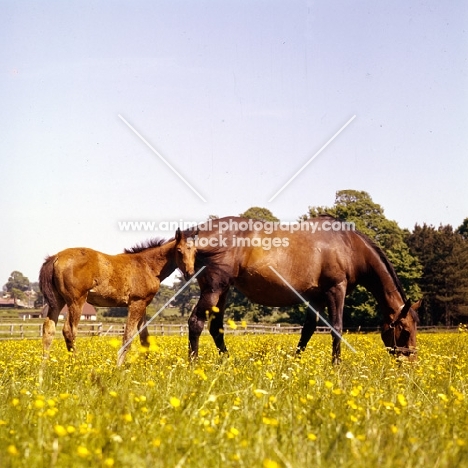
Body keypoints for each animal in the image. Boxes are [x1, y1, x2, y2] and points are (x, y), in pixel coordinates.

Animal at [38, 229, 196, 364]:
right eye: (179, 250)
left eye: (195, 251)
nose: (190, 273)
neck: (147, 265)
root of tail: (55, 257)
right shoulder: (136, 303)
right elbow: (128, 336)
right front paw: (118, 366)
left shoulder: (143, 304)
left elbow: (144, 338)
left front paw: (147, 366)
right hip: (76, 301)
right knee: (69, 331)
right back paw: (75, 364)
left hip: (57, 301)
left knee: (48, 330)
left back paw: (43, 368)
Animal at [177, 218, 422, 364]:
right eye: (405, 330)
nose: (410, 362)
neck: (349, 246)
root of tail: (198, 234)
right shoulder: (336, 290)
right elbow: (337, 328)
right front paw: (336, 365)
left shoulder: (316, 298)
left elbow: (308, 330)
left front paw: (295, 362)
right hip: (214, 289)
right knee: (196, 322)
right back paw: (193, 363)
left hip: (223, 291)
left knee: (215, 328)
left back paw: (227, 361)